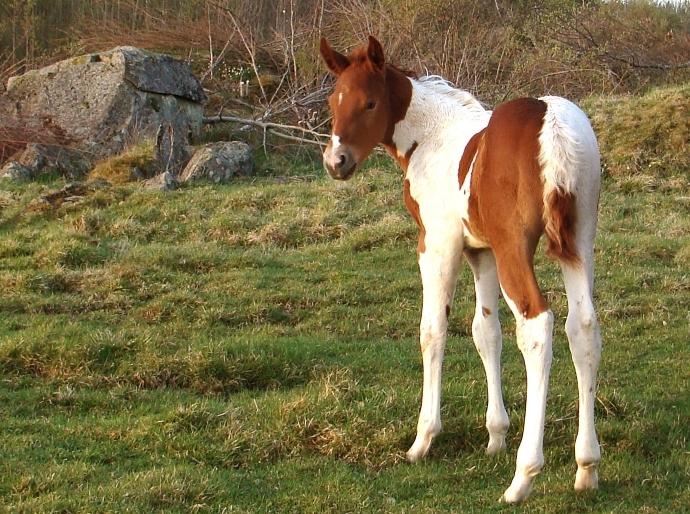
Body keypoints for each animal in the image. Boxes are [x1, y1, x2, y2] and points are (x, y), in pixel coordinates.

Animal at [318, 35, 600, 500]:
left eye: (370, 103)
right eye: (332, 101)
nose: (336, 161)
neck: (432, 137)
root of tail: (552, 124)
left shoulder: (438, 243)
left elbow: (433, 330)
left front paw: (423, 439)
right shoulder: (480, 252)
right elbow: (486, 332)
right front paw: (496, 435)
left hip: (515, 249)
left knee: (537, 326)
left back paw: (524, 475)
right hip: (579, 242)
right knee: (583, 328)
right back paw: (586, 466)